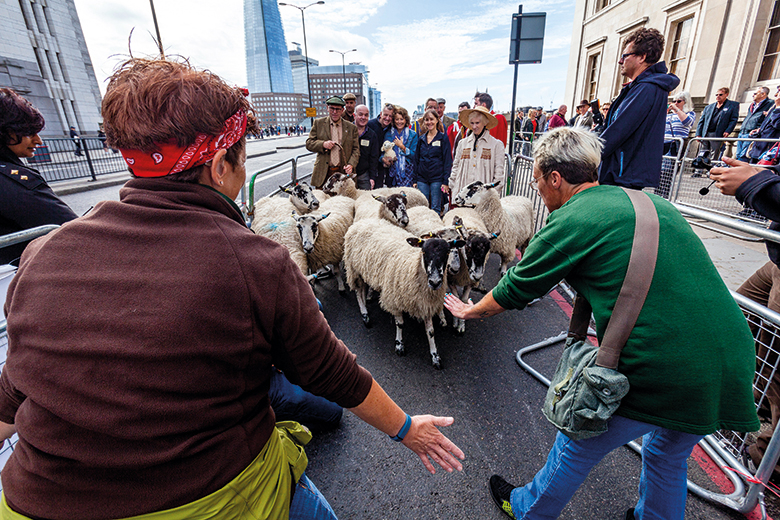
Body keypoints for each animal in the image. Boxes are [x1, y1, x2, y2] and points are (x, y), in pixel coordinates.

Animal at [342, 216, 464, 370]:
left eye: (447, 252)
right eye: (424, 252)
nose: (435, 282)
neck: (414, 266)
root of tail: (362, 221)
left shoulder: (425, 303)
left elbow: (430, 331)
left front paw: (435, 356)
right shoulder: (394, 298)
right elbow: (400, 324)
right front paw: (399, 346)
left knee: (363, 290)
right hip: (354, 269)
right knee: (358, 292)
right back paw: (365, 315)